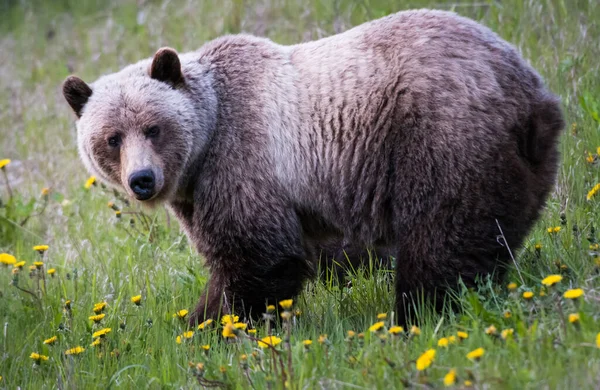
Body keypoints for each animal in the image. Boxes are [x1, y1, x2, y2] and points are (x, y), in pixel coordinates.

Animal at [63, 9, 564, 326]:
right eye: (112, 137)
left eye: (153, 127)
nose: (142, 180)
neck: (203, 145)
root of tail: (532, 94)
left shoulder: (243, 158)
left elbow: (257, 257)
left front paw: (209, 325)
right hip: (520, 162)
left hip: (442, 136)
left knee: (442, 237)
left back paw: (417, 314)